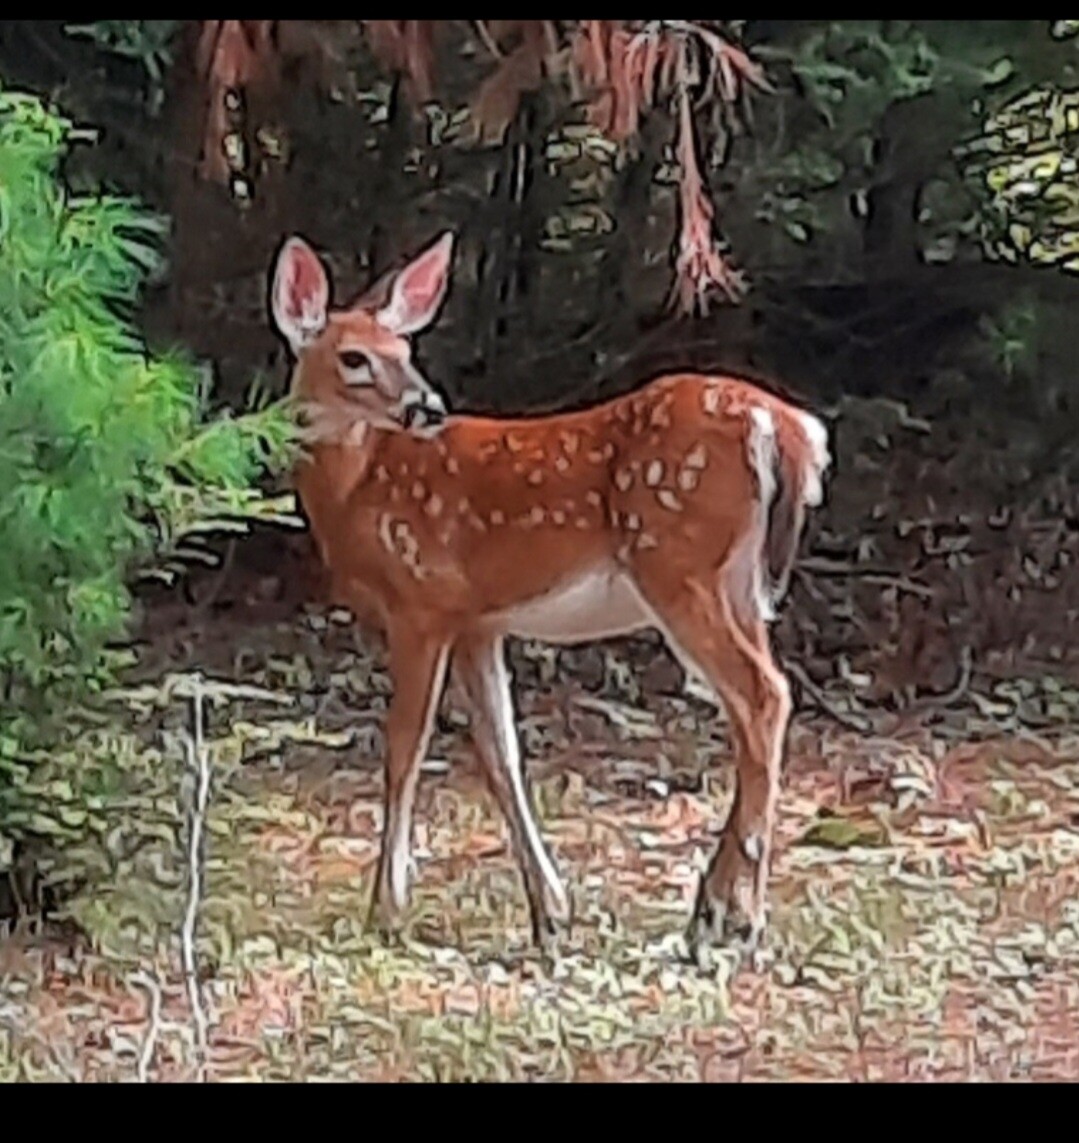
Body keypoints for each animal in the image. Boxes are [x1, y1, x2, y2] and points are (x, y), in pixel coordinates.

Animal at [269, 229, 831, 963]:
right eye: (354, 357)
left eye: (405, 351)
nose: (427, 406)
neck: (355, 489)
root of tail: (785, 426)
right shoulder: (478, 620)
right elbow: (502, 753)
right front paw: (551, 912)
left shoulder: (421, 602)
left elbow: (403, 749)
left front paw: (385, 909)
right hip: (738, 582)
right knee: (753, 707)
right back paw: (706, 909)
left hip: (677, 564)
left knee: (762, 695)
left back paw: (742, 918)